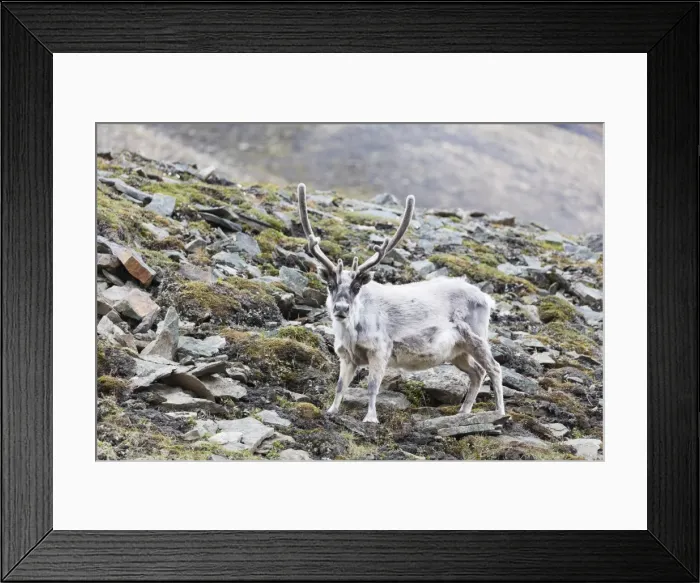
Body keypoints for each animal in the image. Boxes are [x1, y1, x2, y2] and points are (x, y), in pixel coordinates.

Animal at [297, 183, 504, 423]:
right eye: (330, 284)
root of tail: (486, 298)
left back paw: (499, 412)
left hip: (476, 338)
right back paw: (463, 412)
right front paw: (331, 411)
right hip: (458, 351)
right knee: (477, 373)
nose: (341, 309)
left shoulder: (380, 350)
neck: (352, 331)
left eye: (357, 287)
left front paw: (370, 418)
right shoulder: (347, 357)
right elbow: (340, 386)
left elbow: (372, 386)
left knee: (494, 368)